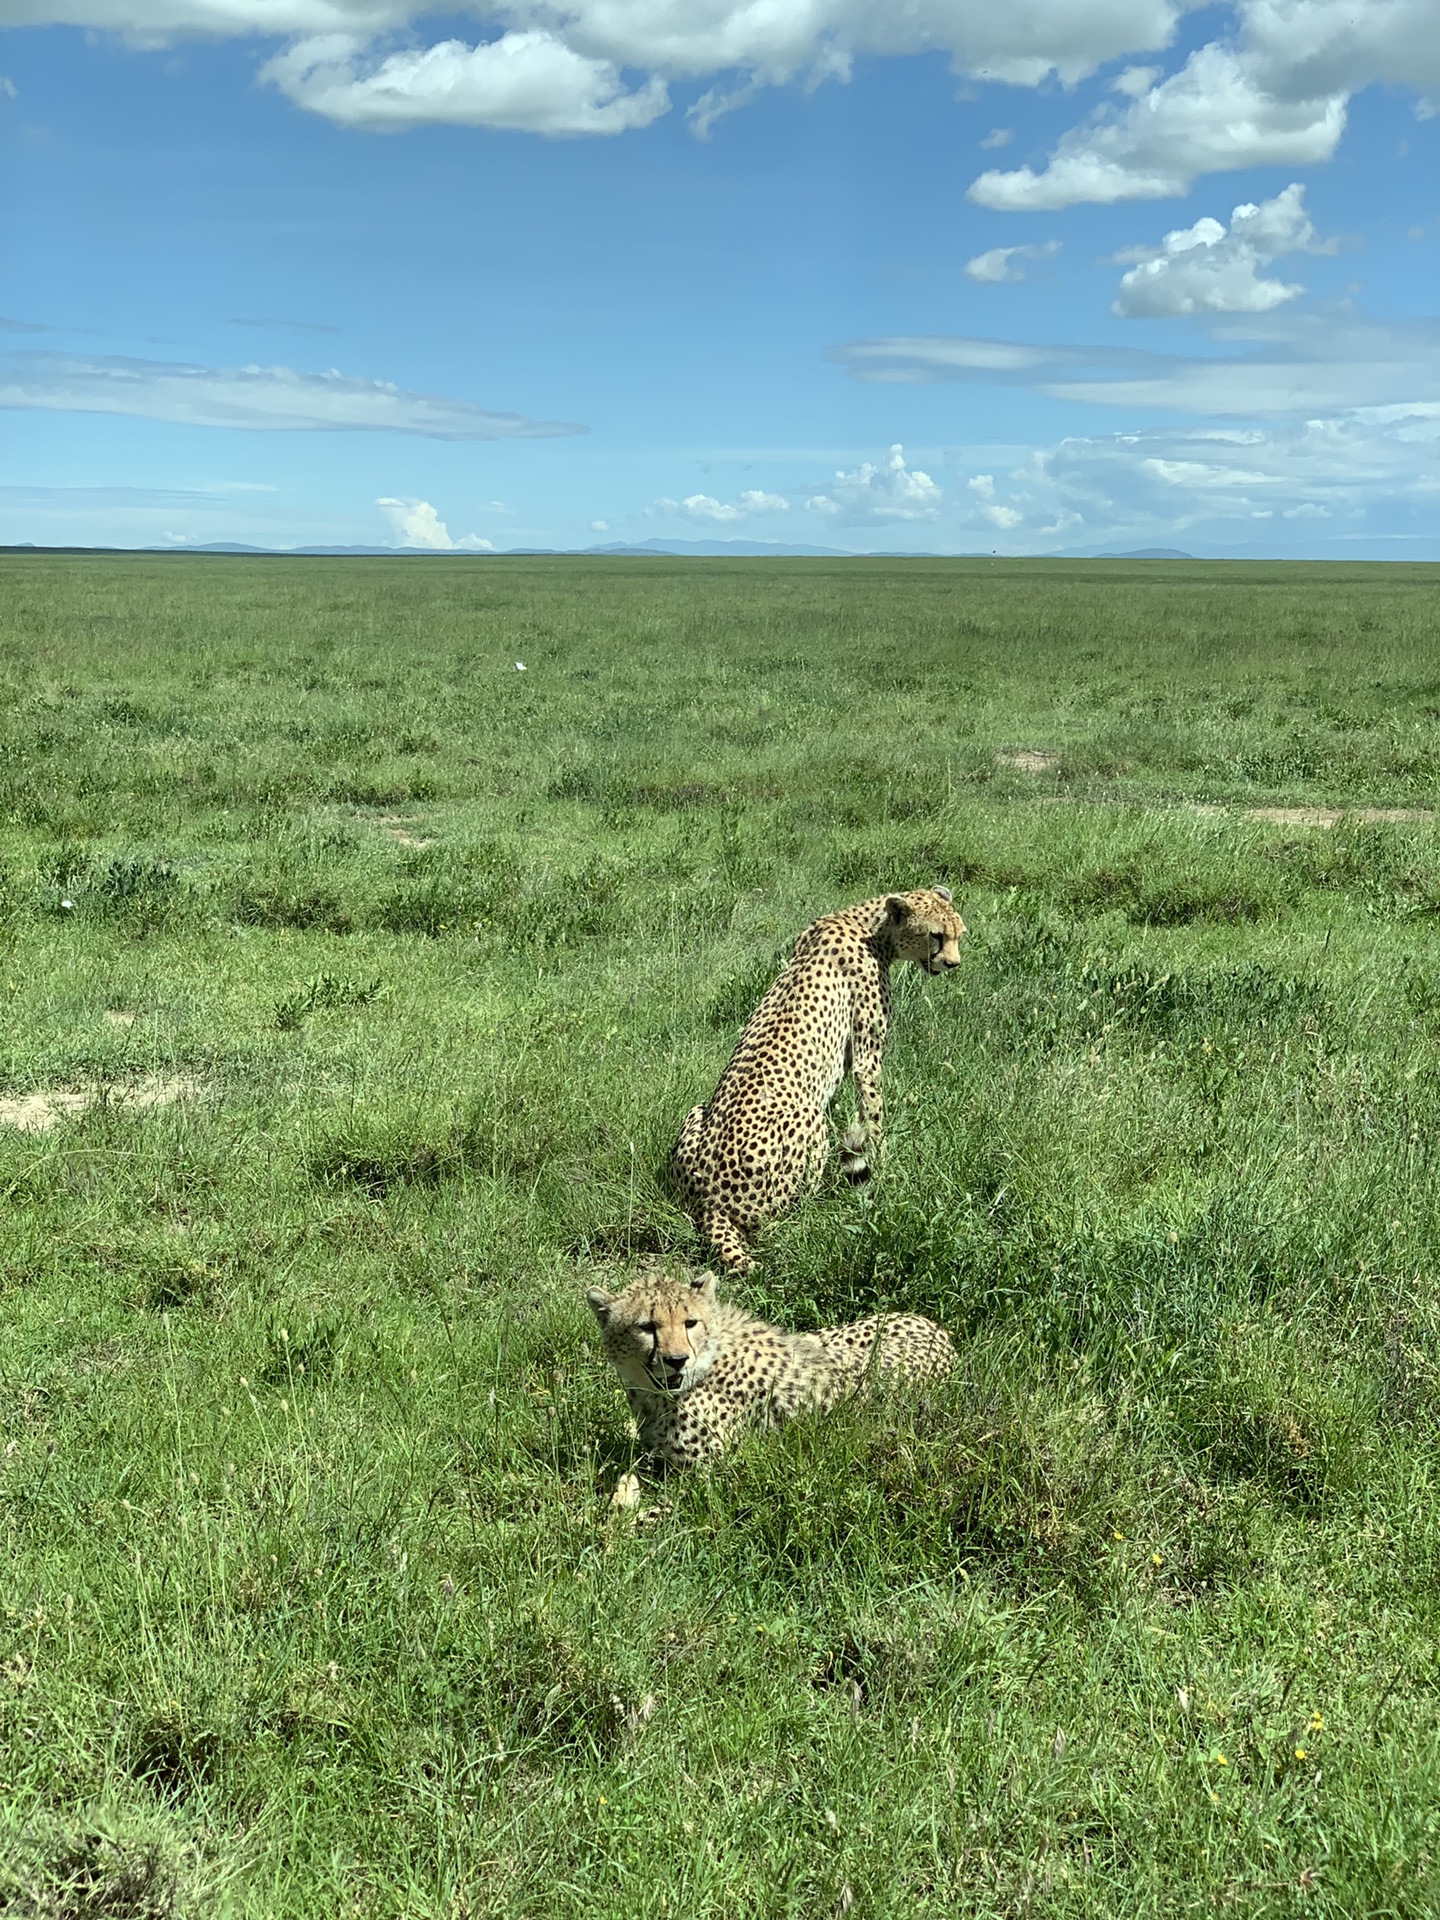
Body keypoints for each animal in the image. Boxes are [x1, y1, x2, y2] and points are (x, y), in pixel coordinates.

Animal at [672, 887, 963, 1274]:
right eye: (936, 935)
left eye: (959, 933)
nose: (954, 964)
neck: (869, 927)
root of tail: (711, 1199)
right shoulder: (866, 1059)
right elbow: (874, 1117)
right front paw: (885, 1168)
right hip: (809, 1122)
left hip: (697, 1112)